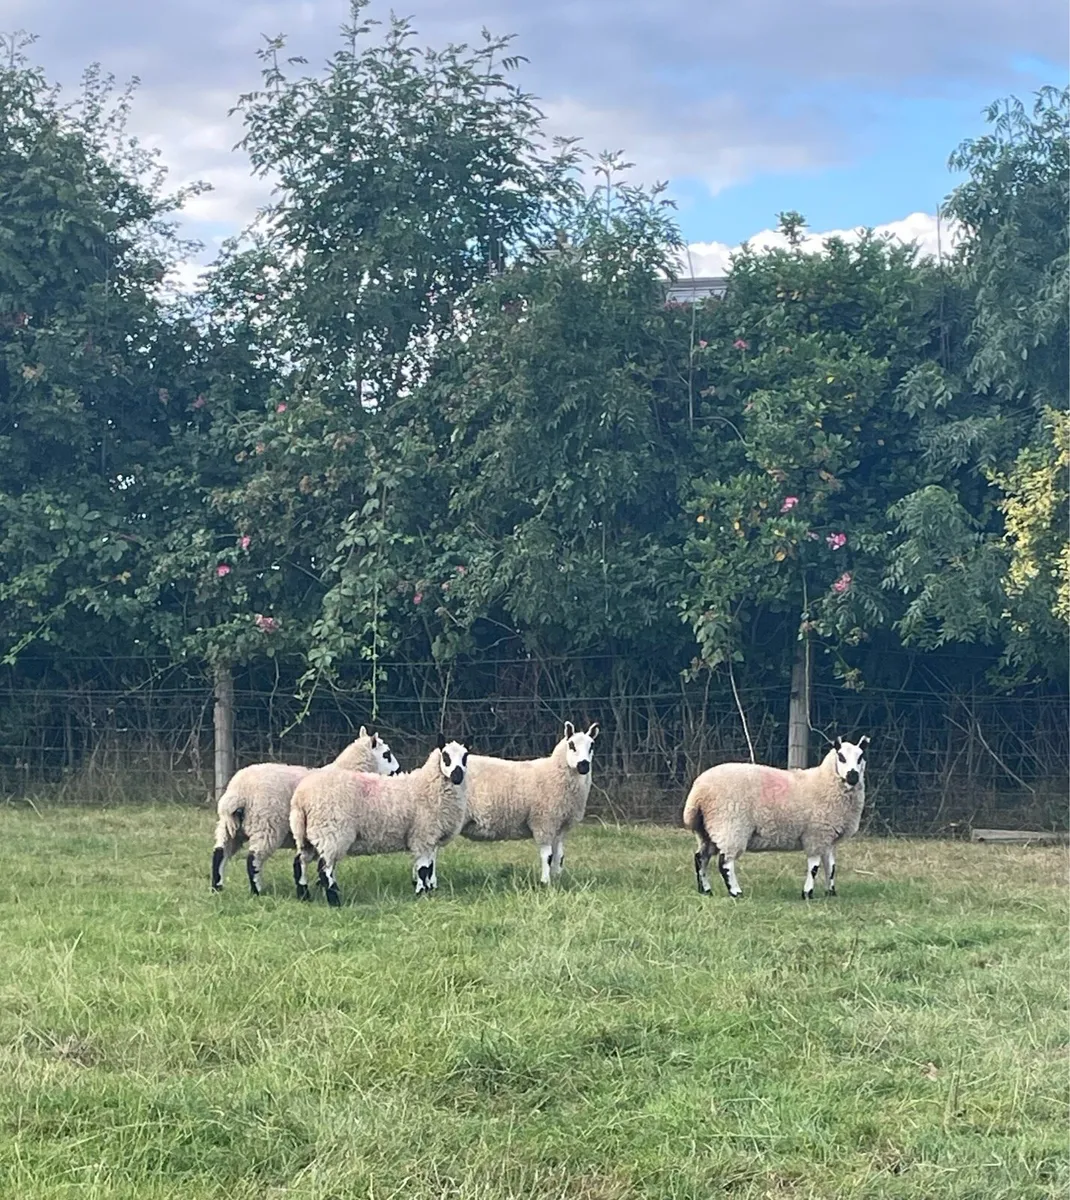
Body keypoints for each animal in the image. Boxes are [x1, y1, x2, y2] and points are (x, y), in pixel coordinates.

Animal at [210, 726, 399, 896]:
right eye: (387, 754)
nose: (397, 771)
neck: (349, 768)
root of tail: (238, 791)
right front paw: (325, 885)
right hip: (266, 825)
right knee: (253, 859)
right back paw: (257, 891)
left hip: (231, 826)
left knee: (220, 852)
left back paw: (217, 888)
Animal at [289, 734, 470, 906]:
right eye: (445, 756)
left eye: (465, 756)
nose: (457, 776)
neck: (427, 785)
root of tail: (301, 797)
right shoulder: (422, 836)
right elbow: (423, 870)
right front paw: (422, 894)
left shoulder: (431, 839)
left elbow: (430, 868)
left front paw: (430, 891)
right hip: (332, 833)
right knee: (324, 869)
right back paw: (335, 901)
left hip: (306, 835)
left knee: (300, 862)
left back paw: (304, 896)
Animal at [461, 721, 600, 884]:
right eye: (571, 745)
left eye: (591, 745)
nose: (583, 765)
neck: (555, 771)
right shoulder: (544, 821)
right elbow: (547, 856)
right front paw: (545, 882)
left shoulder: (560, 826)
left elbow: (559, 856)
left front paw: (557, 879)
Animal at [682, 736, 870, 900]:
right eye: (841, 756)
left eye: (861, 757)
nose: (853, 776)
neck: (824, 780)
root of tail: (698, 791)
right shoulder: (816, 834)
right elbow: (814, 867)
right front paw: (807, 893)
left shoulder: (828, 838)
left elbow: (831, 867)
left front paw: (831, 893)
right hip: (730, 826)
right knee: (725, 863)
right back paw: (736, 892)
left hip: (706, 830)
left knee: (701, 858)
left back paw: (705, 890)